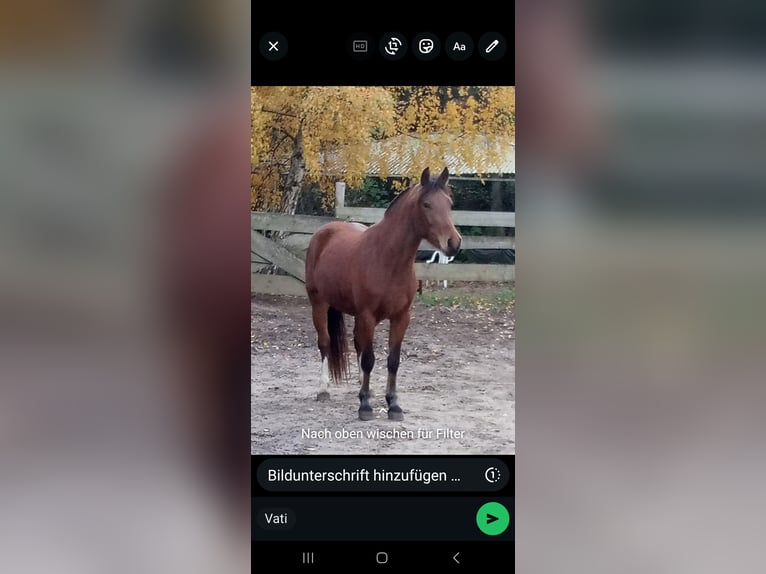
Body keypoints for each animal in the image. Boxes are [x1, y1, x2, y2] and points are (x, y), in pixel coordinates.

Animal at [305, 167, 462, 421]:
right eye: (426, 204)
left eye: (449, 204)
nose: (454, 243)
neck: (389, 260)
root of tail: (324, 231)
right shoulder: (368, 316)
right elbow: (370, 359)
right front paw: (365, 407)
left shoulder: (401, 317)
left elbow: (392, 361)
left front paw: (392, 405)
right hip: (318, 303)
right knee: (325, 343)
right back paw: (323, 390)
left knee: (357, 345)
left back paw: (363, 388)